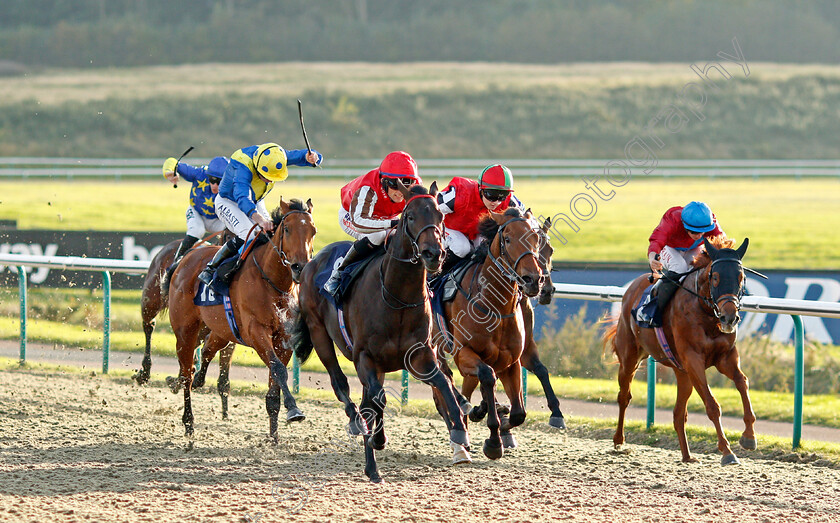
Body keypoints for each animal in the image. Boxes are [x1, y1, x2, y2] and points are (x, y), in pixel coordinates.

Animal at [168, 199, 318, 440]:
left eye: (313, 230)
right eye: (287, 229)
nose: (300, 267)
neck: (272, 281)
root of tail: (186, 258)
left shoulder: (283, 338)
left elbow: (275, 382)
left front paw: (274, 436)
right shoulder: (256, 331)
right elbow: (278, 369)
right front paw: (294, 410)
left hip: (222, 329)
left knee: (206, 352)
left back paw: (193, 381)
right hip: (185, 331)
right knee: (187, 372)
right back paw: (189, 423)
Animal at [290, 183, 472, 484]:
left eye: (440, 216)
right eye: (409, 216)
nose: (434, 254)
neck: (397, 298)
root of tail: (310, 263)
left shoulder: (420, 356)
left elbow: (443, 384)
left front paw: (460, 429)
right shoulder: (365, 357)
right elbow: (378, 399)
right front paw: (374, 444)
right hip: (320, 335)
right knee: (342, 385)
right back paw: (360, 430)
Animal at [430, 209, 540, 462]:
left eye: (536, 238)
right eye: (507, 239)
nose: (533, 280)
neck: (495, 305)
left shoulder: (510, 361)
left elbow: (519, 412)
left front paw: (502, 424)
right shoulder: (463, 354)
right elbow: (487, 377)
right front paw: (493, 441)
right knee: (443, 389)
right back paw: (459, 434)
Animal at [456, 215, 568, 432]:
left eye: (550, 249)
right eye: (508, 240)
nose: (544, 289)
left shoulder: (524, 346)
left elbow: (541, 369)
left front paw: (556, 412)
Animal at [604, 237, 756, 466]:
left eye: (741, 278)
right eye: (716, 278)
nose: (729, 317)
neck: (705, 312)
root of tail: (631, 289)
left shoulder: (725, 357)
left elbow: (742, 382)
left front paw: (749, 436)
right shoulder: (693, 360)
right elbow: (712, 405)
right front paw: (727, 451)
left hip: (682, 372)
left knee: (678, 414)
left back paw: (687, 456)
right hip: (630, 358)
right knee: (624, 396)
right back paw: (619, 440)